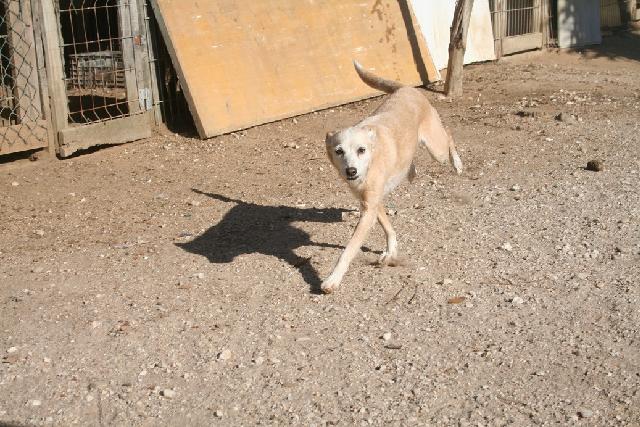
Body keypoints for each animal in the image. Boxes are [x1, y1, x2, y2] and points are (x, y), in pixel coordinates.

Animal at [322, 60, 462, 294]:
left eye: (361, 150)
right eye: (339, 151)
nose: (351, 171)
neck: (370, 163)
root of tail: (406, 88)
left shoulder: (368, 210)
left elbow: (348, 250)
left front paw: (333, 279)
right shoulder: (371, 204)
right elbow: (388, 228)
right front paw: (391, 252)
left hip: (437, 149)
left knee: (450, 135)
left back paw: (457, 163)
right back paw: (411, 172)